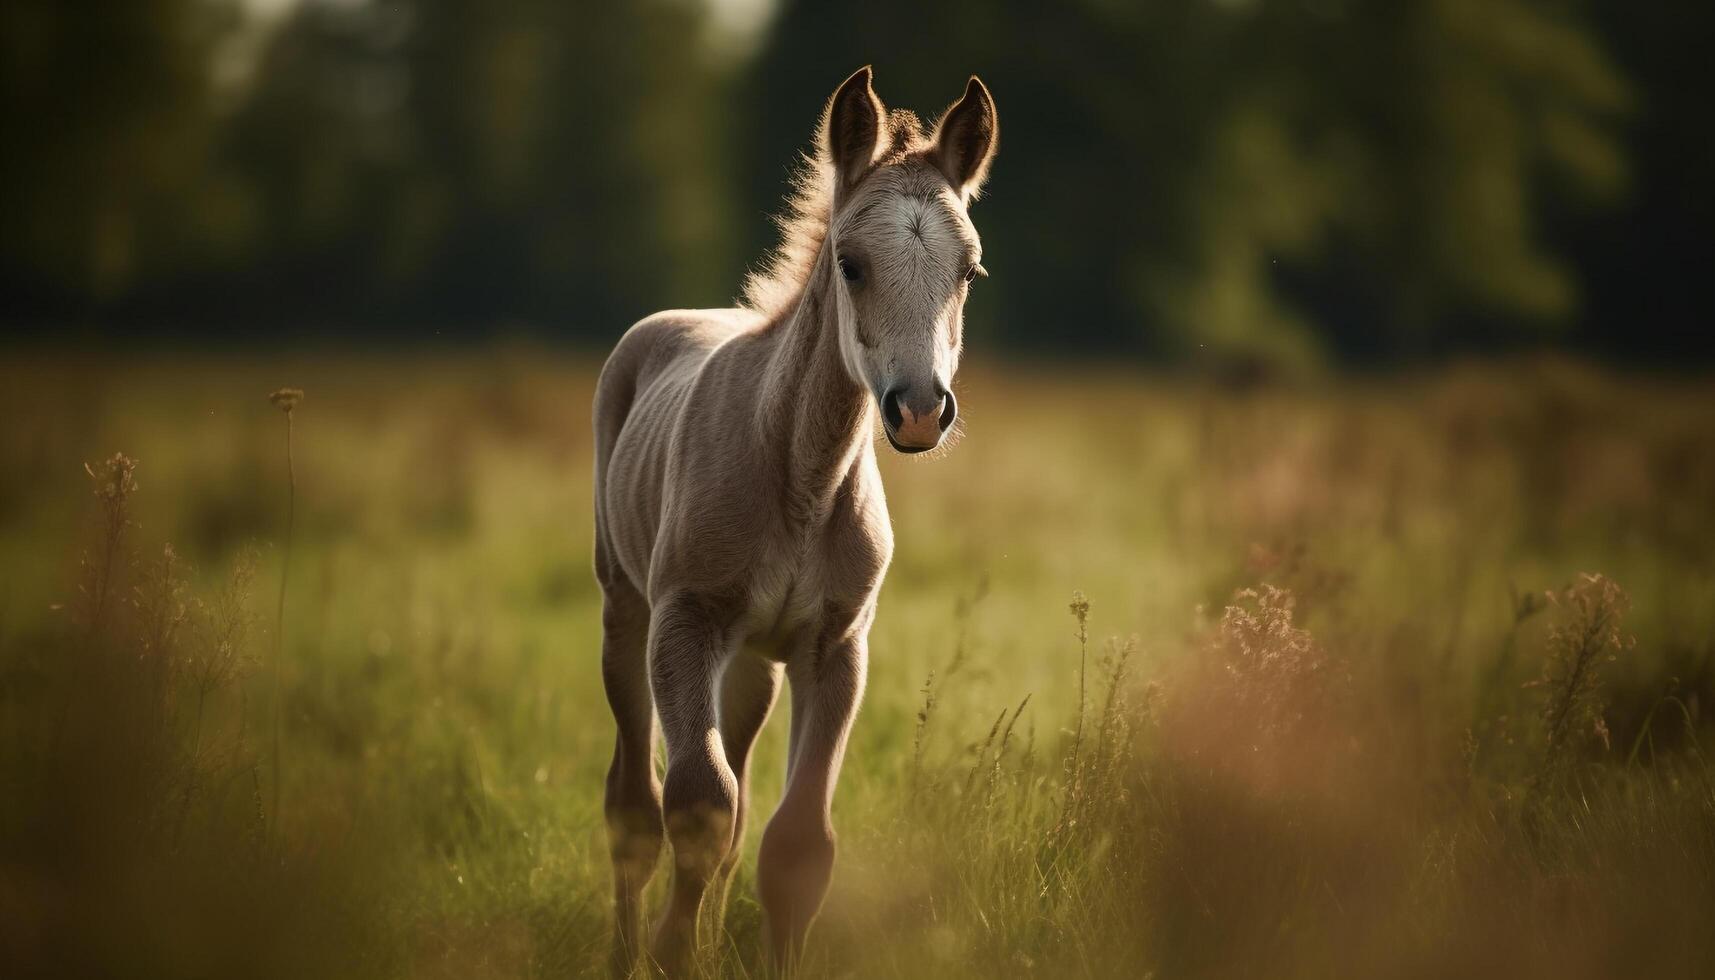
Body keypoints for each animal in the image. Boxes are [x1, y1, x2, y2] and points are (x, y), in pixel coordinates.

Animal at [593, 69, 1001, 974]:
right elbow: (696, 806)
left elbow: (793, 841)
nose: (920, 410)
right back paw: (625, 950)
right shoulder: (683, 622)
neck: (800, 480)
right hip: (625, 610)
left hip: (753, 664)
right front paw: (671, 955)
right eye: (850, 264)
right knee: (634, 801)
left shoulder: (836, 646)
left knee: (739, 799)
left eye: (969, 271)